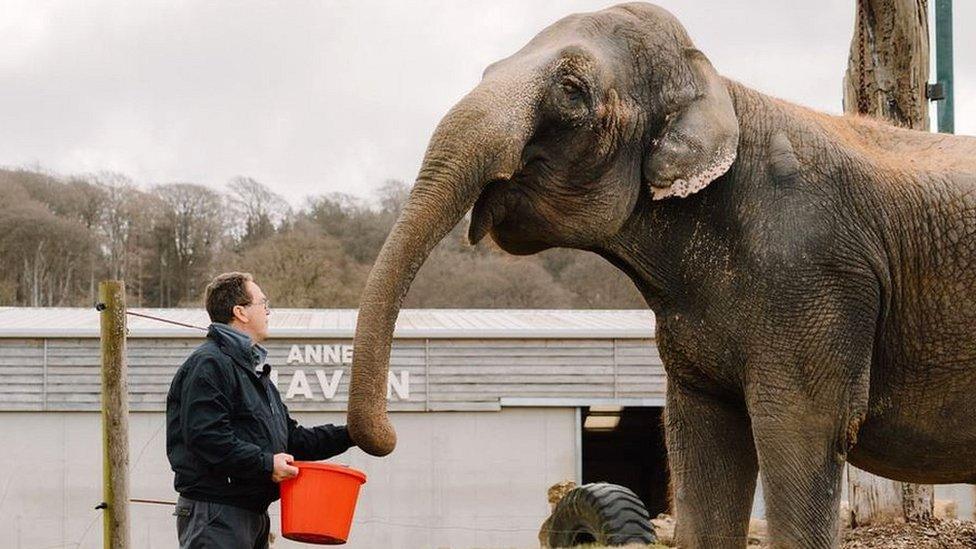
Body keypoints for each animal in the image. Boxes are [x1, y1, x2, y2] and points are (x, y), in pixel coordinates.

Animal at [346, 4, 976, 548]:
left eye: (571, 90)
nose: (387, 438)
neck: (721, 87)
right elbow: (705, 447)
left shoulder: (816, 277)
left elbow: (804, 431)